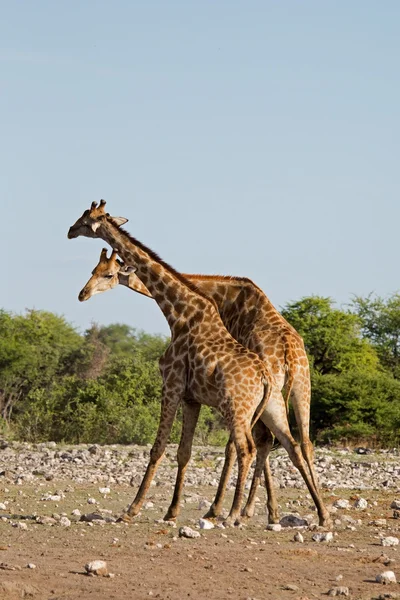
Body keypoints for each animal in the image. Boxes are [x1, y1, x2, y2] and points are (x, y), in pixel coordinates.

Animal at [68, 200, 332, 524]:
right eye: (94, 269)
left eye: (86, 219)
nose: (82, 294)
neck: (184, 308)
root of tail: (285, 354)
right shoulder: (192, 397)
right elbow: (184, 451)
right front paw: (172, 510)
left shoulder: (171, 385)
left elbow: (159, 447)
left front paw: (133, 509)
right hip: (293, 394)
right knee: (297, 444)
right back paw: (316, 513)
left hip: (242, 405)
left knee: (247, 446)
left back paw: (232, 511)